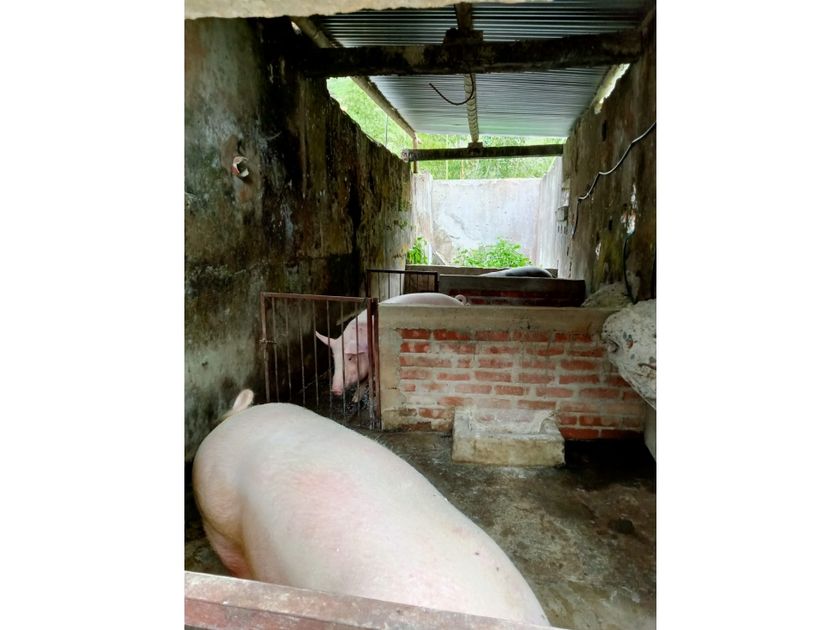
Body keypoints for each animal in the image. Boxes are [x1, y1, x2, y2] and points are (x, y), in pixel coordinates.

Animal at [316, 292, 465, 402]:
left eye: (350, 358)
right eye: (334, 359)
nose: (335, 390)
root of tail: (458, 302)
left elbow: (367, 380)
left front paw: (367, 397)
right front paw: (355, 400)